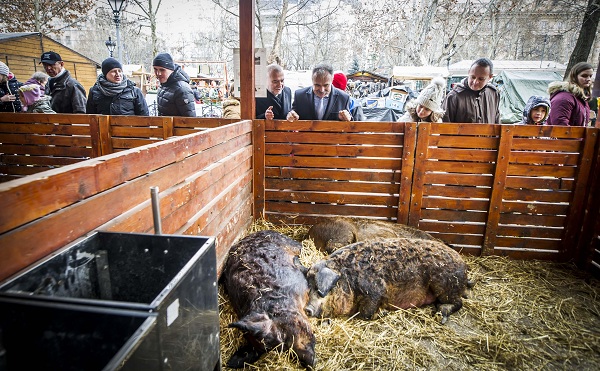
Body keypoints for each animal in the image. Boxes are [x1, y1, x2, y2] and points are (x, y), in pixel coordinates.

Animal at [308, 240, 472, 324]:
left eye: (318, 288)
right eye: (308, 287)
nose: (307, 309)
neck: (348, 278)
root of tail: (464, 264)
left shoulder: (376, 290)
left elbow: (366, 312)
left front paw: (384, 313)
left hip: (445, 285)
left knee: (458, 302)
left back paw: (440, 315)